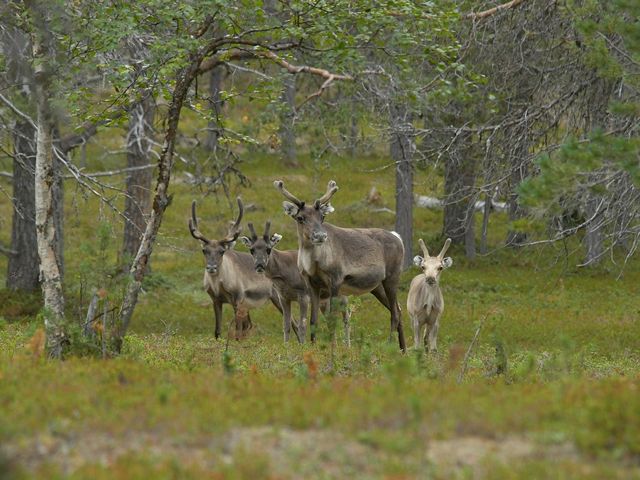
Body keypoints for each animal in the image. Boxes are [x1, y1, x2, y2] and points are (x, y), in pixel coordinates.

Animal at [189, 197, 282, 340]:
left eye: (222, 251)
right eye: (204, 250)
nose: (211, 267)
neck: (218, 286)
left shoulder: (237, 298)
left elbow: (237, 329)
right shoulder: (216, 300)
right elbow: (217, 331)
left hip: (278, 296)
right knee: (249, 325)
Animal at [274, 179, 406, 351]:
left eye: (322, 216)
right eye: (300, 218)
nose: (320, 236)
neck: (313, 263)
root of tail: (398, 237)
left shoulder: (335, 280)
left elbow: (332, 321)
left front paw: (333, 349)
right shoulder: (311, 284)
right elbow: (313, 320)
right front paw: (313, 347)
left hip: (392, 276)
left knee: (395, 313)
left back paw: (390, 346)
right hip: (377, 286)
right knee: (398, 309)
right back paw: (403, 350)